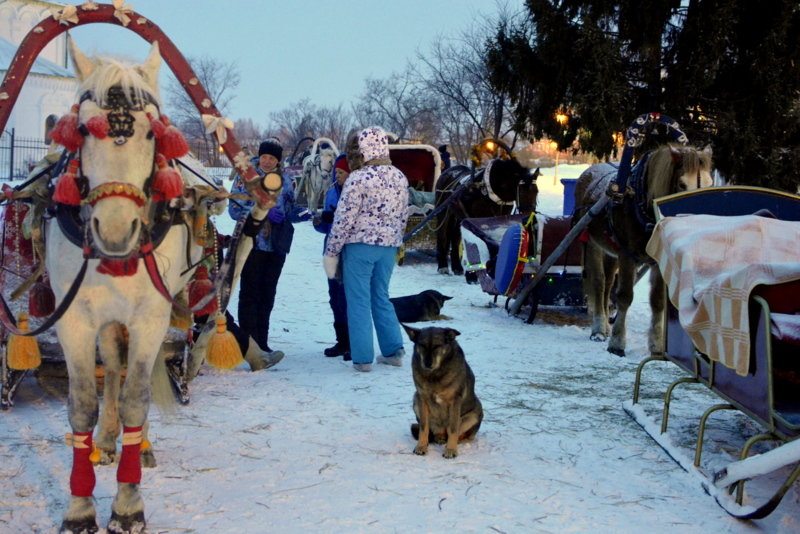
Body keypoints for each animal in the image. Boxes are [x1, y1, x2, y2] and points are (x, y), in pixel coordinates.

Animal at [47, 40, 268, 534]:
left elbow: (137, 398)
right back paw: (108, 439)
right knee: (113, 364)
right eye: (83, 131)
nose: (114, 231)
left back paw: (140, 444)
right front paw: (79, 508)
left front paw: (128, 505)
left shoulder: (150, 318)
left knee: (137, 375)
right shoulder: (74, 319)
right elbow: (82, 404)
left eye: (153, 134)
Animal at [406, 324, 482, 458]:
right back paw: (439, 438)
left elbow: (453, 429)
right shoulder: (422, 398)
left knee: (465, 435)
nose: (427, 363)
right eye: (422, 345)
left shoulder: (455, 401)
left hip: (475, 413)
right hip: (415, 400)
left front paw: (451, 449)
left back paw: (454, 441)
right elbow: (423, 428)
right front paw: (421, 446)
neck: (435, 374)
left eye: (437, 346)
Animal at [576, 144, 712, 358]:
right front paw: (617, 343)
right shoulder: (627, 254)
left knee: (608, 284)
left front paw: (656, 344)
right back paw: (598, 329)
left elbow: (657, 301)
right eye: (682, 184)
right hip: (591, 243)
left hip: (611, 251)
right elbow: (624, 296)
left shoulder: (657, 260)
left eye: (710, 183)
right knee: (599, 283)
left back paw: (605, 325)